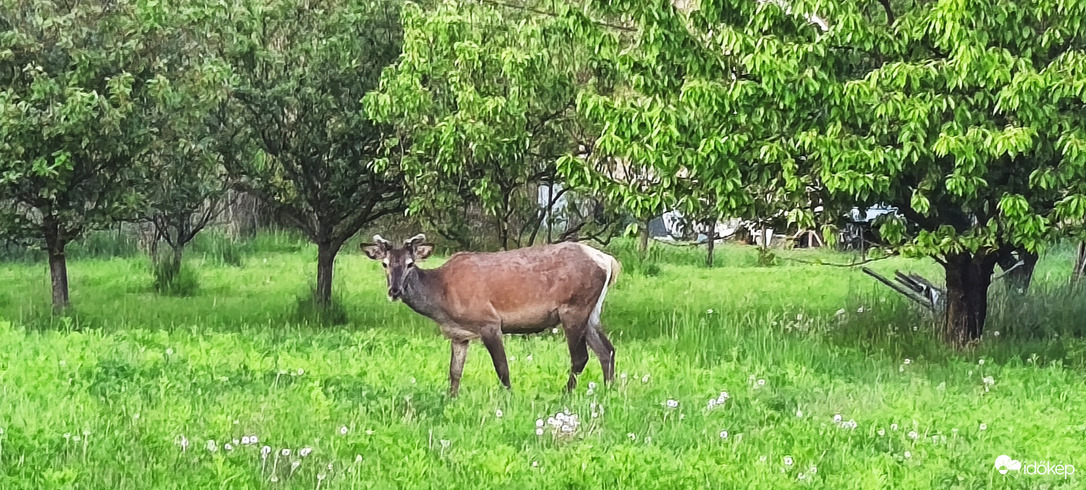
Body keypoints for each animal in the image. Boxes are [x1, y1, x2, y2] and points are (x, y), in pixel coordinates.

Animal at [362, 233, 620, 397]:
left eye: (410, 263)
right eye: (385, 264)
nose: (394, 291)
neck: (441, 299)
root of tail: (609, 261)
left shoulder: (489, 322)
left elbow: (502, 368)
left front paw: (509, 398)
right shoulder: (459, 335)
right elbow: (454, 372)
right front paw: (451, 400)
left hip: (574, 307)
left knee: (580, 357)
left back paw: (565, 393)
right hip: (591, 313)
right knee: (607, 350)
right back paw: (609, 391)